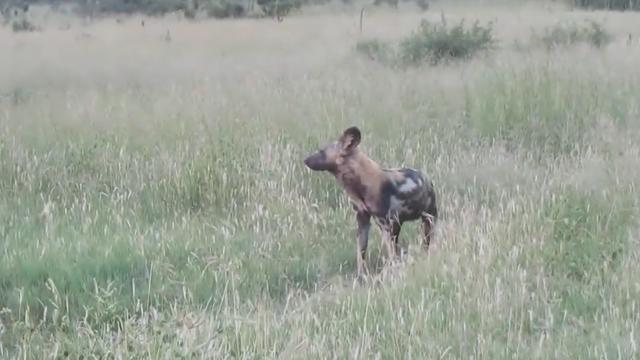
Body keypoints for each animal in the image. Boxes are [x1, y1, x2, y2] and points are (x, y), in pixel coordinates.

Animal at [304, 128, 436, 280]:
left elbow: (391, 255)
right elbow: (361, 253)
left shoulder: (385, 225)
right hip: (400, 225)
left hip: (427, 220)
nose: (305, 160)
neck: (358, 183)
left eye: (321, 151)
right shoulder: (363, 220)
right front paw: (361, 278)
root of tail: (426, 178)